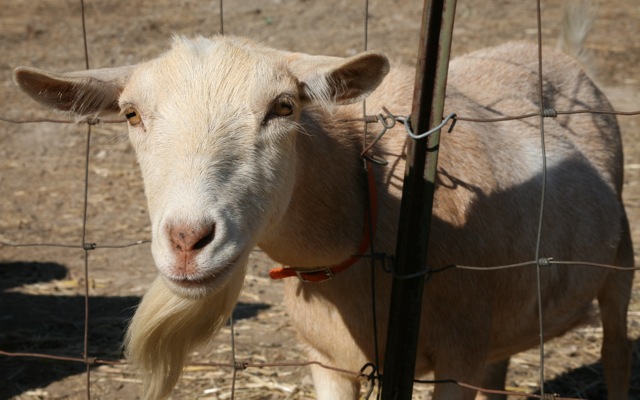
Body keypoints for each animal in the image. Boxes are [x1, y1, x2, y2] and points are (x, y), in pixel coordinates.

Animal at [12, 8, 632, 400]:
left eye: (283, 108)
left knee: (616, 353)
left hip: (619, 266)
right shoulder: (324, 359)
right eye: (132, 114)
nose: (188, 241)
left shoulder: (456, 359)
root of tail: (559, 54)